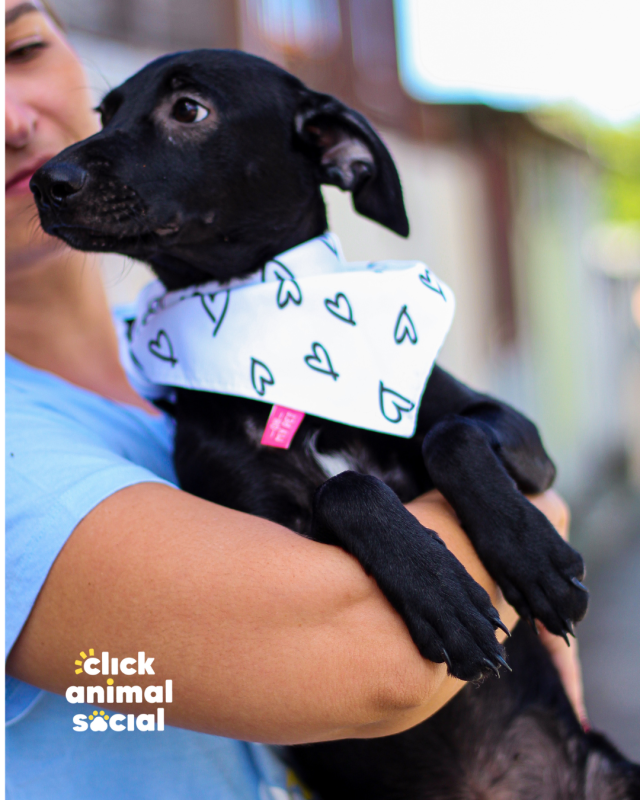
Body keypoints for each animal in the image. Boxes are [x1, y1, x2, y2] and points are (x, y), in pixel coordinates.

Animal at [31, 50, 640, 800]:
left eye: (189, 110)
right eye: (105, 112)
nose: (45, 182)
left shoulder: (524, 442)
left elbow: (451, 435)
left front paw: (535, 559)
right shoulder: (266, 527)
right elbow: (343, 488)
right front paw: (443, 594)